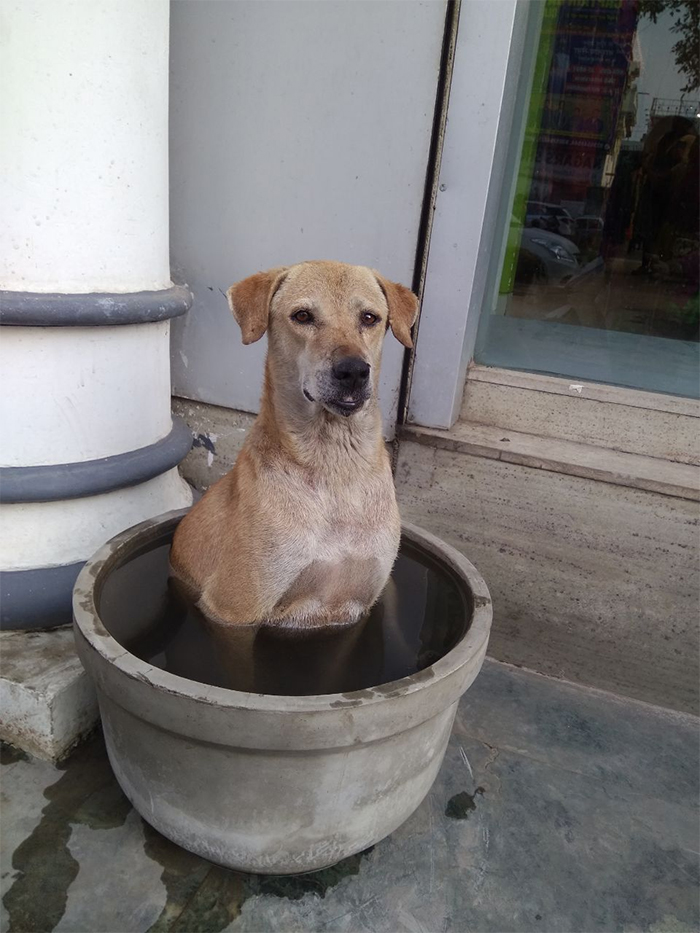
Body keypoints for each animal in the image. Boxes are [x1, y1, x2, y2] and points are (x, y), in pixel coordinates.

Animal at [170, 258, 418, 644]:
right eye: (302, 316)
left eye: (370, 318)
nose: (353, 371)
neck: (334, 464)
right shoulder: (234, 611)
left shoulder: (357, 608)